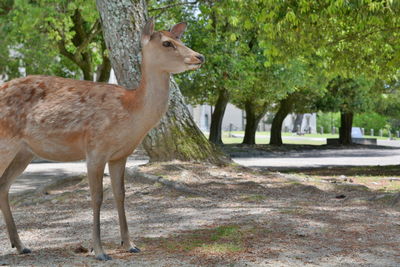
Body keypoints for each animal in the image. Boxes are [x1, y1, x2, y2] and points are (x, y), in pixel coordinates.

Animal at [0, 19, 205, 262]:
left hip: (24, 151)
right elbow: (97, 196)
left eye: (179, 39)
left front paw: (130, 244)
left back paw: (21, 245)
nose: (200, 57)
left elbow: (120, 194)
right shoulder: (95, 149)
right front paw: (99, 251)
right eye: (167, 43)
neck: (131, 110)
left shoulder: (120, 155)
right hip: (6, 141)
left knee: (3, 185)